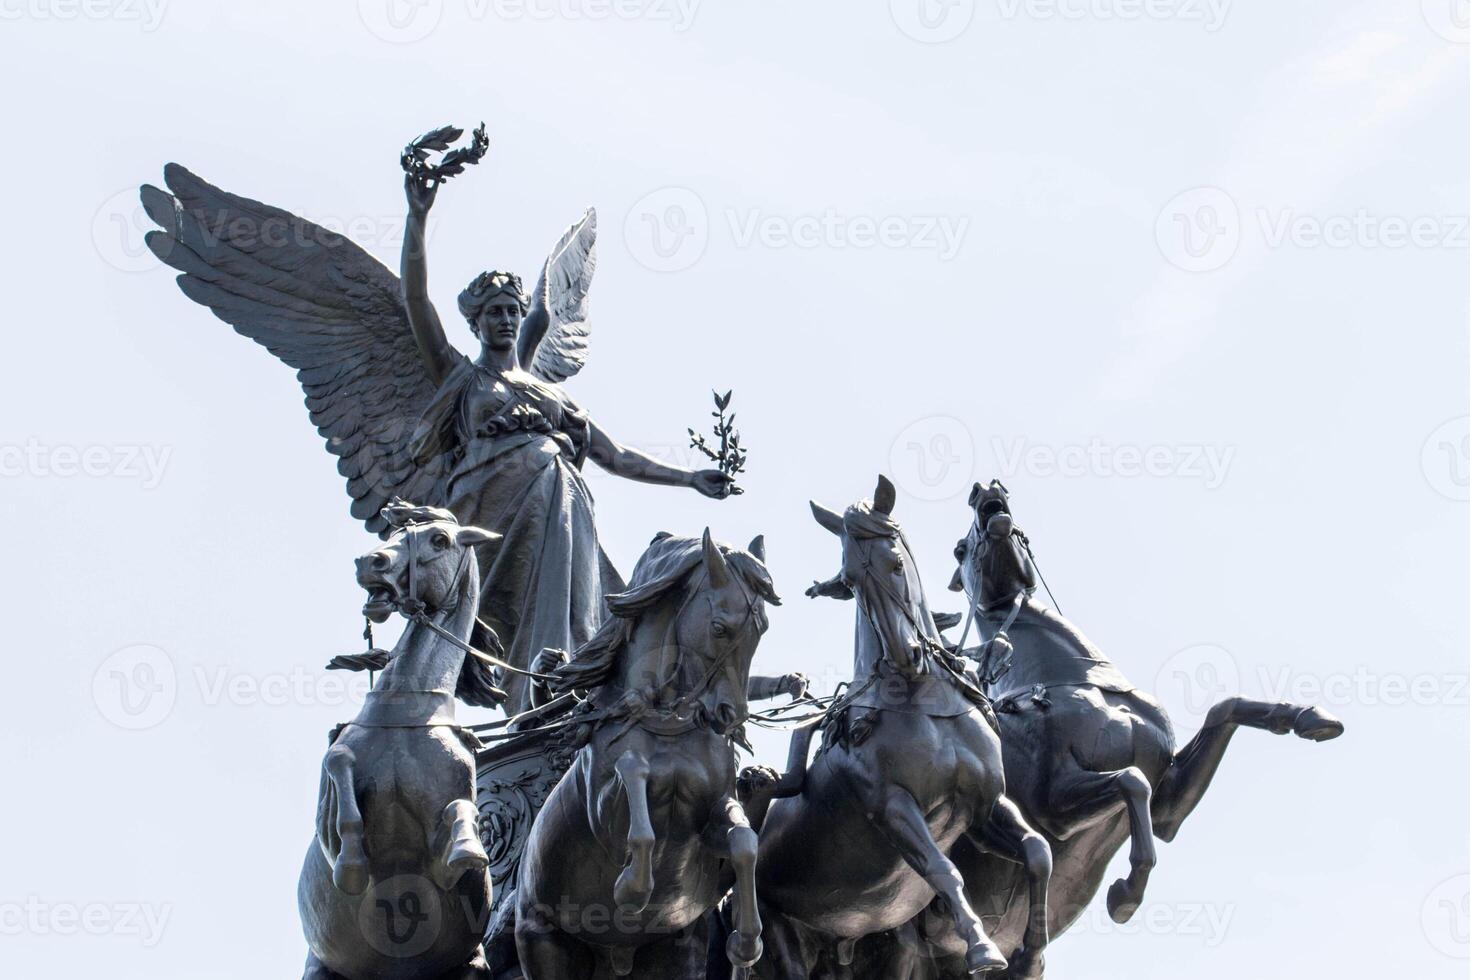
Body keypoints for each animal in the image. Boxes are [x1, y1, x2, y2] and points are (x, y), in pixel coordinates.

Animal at [301, 505, 502, 980]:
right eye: (393, 533)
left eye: (439, 540)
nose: (368, 562)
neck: (406, 714)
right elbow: (339, 761)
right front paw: (352, 863)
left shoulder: (441, 857)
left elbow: (462, 811)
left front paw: (469, 849)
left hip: (472, 966)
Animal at [517, 531, 787, 975]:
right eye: (719, 627)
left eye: (762, 629)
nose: (731, 716)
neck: (668, 728)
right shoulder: (605, 818)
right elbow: (634, 789)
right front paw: (633, 889)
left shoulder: (712, 816)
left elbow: (744, 841)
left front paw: (746, 941)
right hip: (541, 940)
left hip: (680, 950)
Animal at [752, 478, 1052, 975]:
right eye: (849, 582)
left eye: (895, 563)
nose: (906, 654)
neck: (921, 700)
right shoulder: (893, 808)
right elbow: (943, 870)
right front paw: (983, 948)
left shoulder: (987, 807)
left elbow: (1038, 852)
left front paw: (1031, 958)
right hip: (776, 925)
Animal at [917, 478, 1346, 969]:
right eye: (959, 549)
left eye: (1017, 526)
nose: (985, 491)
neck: (1067, 679)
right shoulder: (1053, 805)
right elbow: (1131, 781)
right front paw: (1125, 894)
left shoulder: (1169, 806)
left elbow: (1224, 710)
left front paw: (1310, 719)